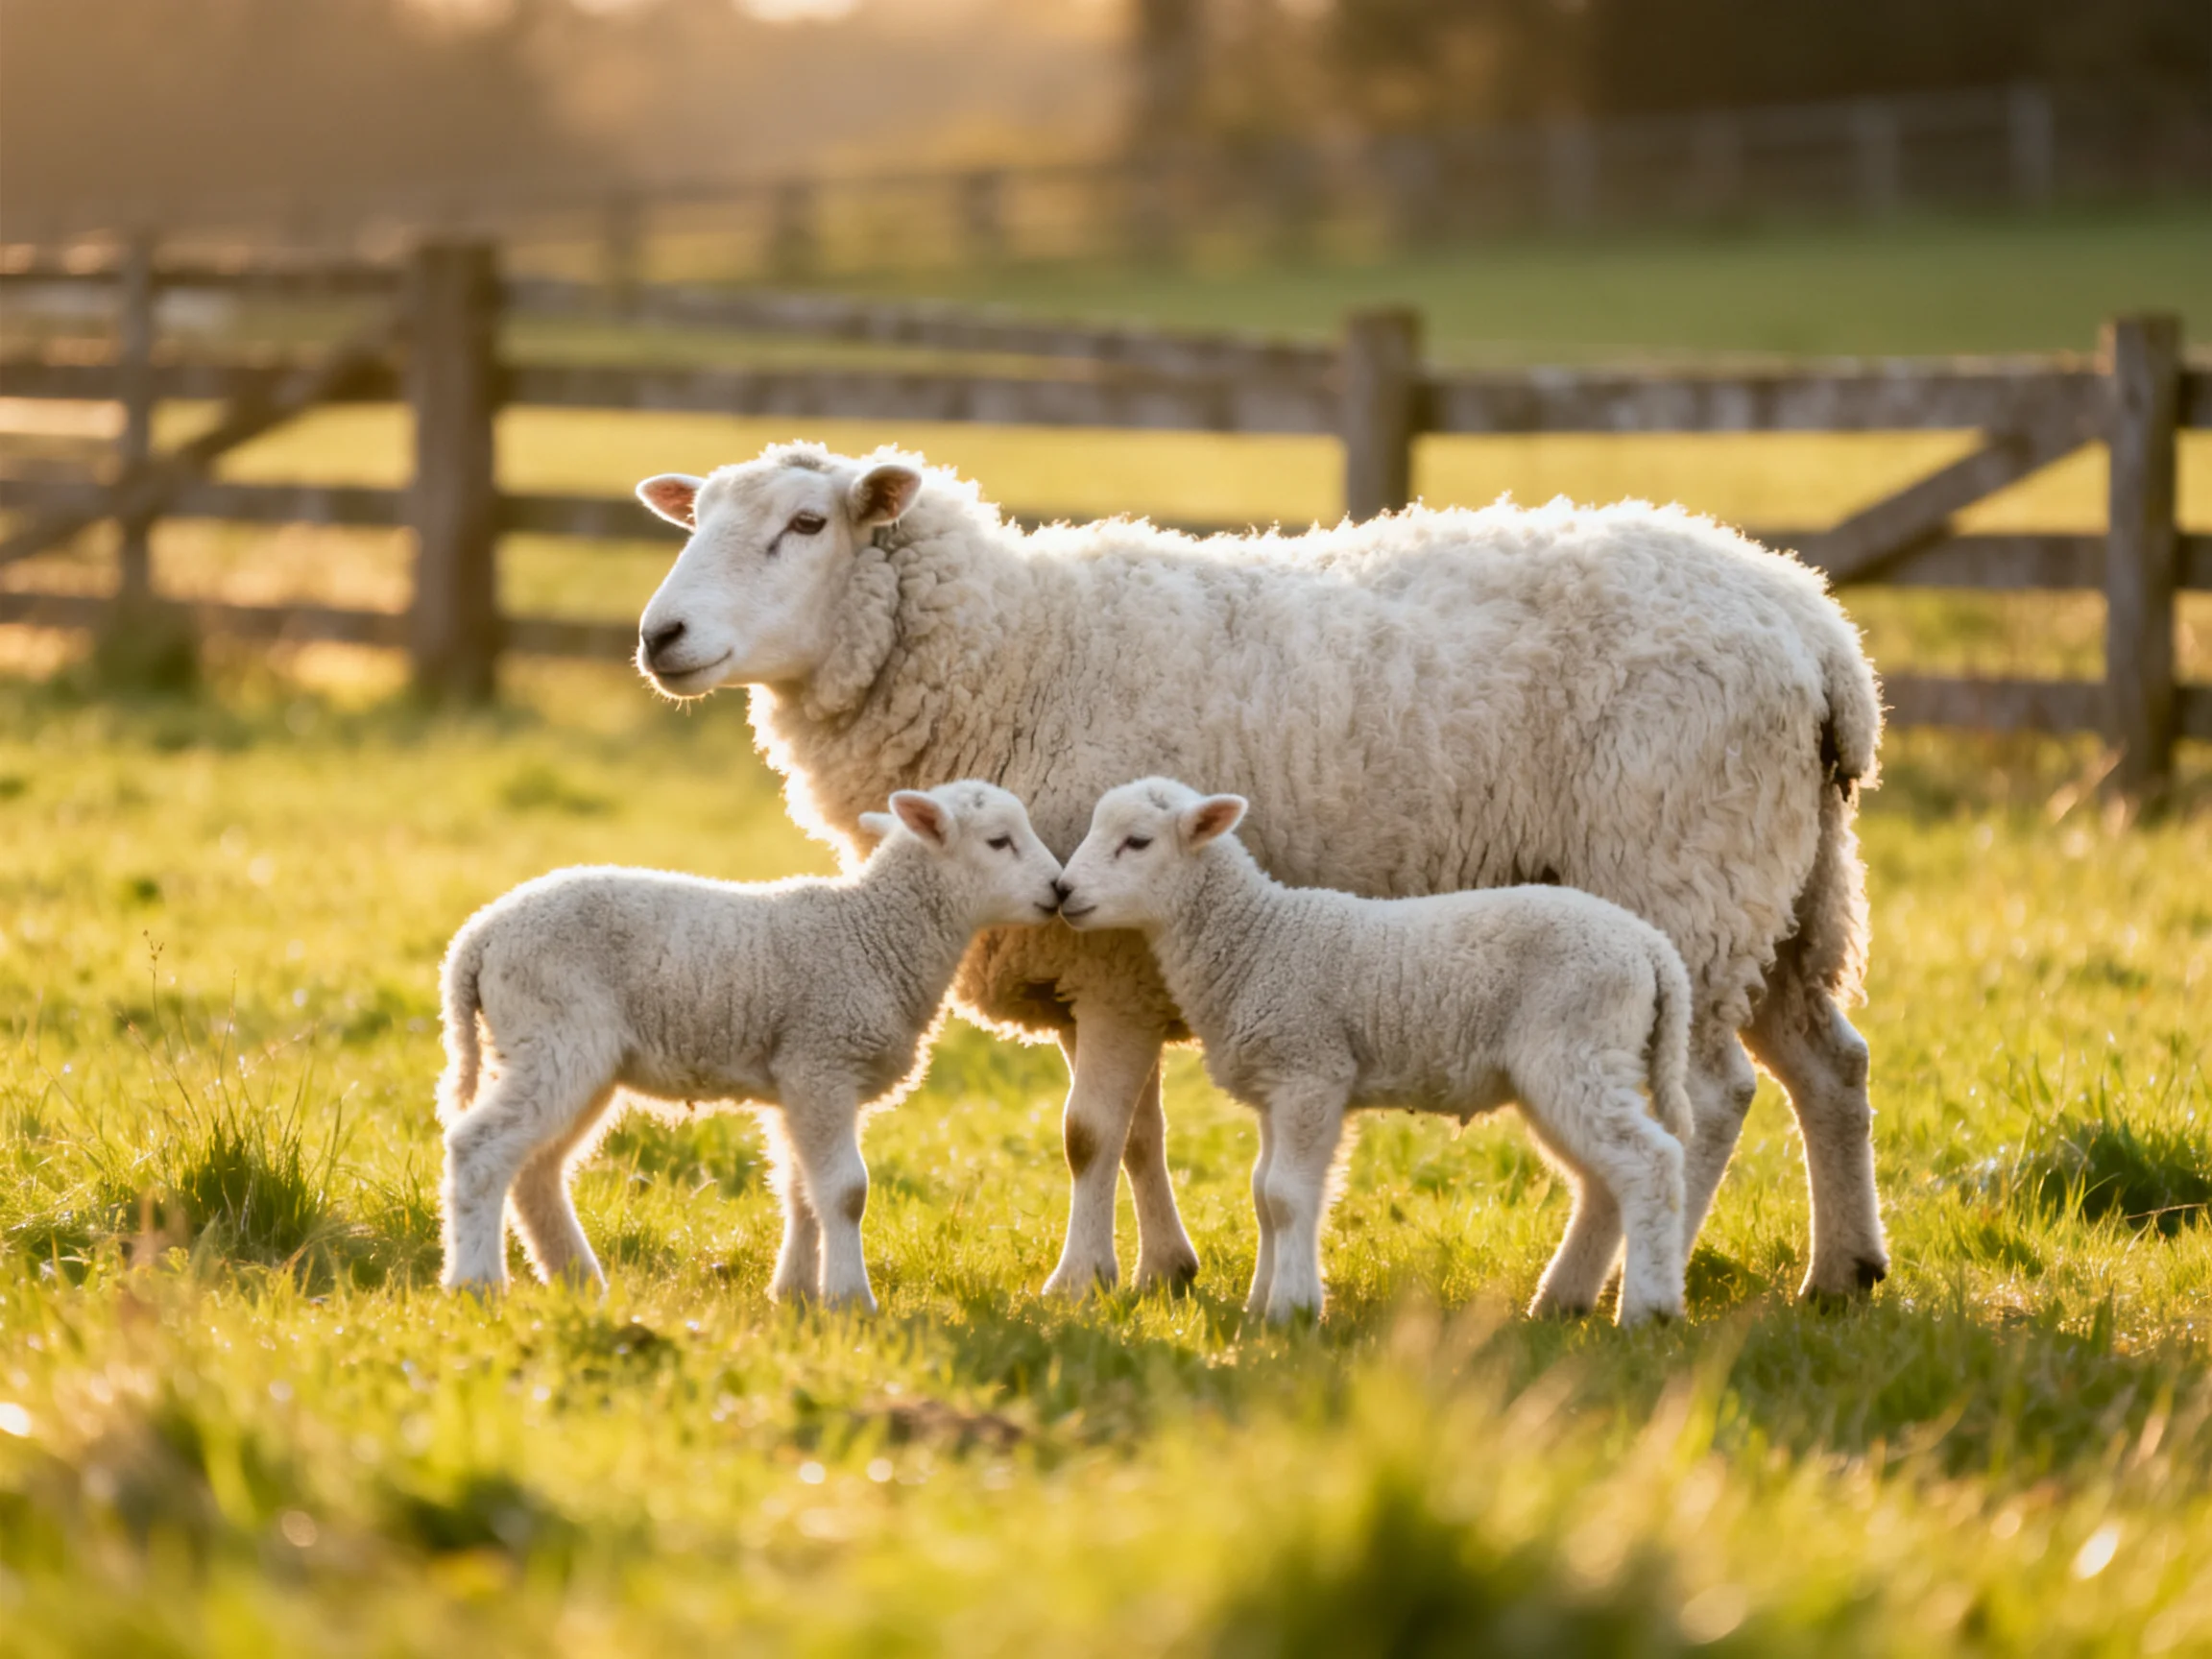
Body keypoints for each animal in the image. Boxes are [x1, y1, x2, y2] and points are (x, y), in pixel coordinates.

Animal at [435, 780, 1064, 1308]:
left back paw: (579, 1280)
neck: (875, 935)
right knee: (480, 1149)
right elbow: (845, 1192)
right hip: (555, 1033)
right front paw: (850, 1300)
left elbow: (802, 1191)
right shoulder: (823, 1060)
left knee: (536, 1169)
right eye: (999, 841)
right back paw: (476, 1282)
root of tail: (476, 939)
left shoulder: (797, 1080)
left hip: (571, 1055)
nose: (1058, 890)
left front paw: (794, 1295)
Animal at [1059, 778, 1695, 1325]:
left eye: (1137, 842)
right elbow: (1263, 1194)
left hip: (1577, 1046)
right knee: (1603, 1183)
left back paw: (1649, 1310)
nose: (1064, 892)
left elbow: (1287, 1196)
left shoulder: (1311, 1070)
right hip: (1570, 1066)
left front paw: (1292, 1310)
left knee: (1651, 1164)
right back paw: (1560, 1302)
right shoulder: (1274, 1085)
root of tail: (1651, 946)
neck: (1256, 938)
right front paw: (1260, 1304)